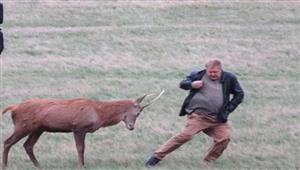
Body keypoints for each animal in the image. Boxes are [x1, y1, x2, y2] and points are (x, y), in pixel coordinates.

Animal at [1, 91, 164, 168]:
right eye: (137, 112)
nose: (131, 127)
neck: (98, 114)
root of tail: (13, 108)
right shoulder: (78, 127)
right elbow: (80, 148)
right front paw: (81, 165)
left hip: (38, 129)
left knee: (28, 145)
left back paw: (38, 166)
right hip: (23, 125)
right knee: (7, 142)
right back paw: (5, 165)